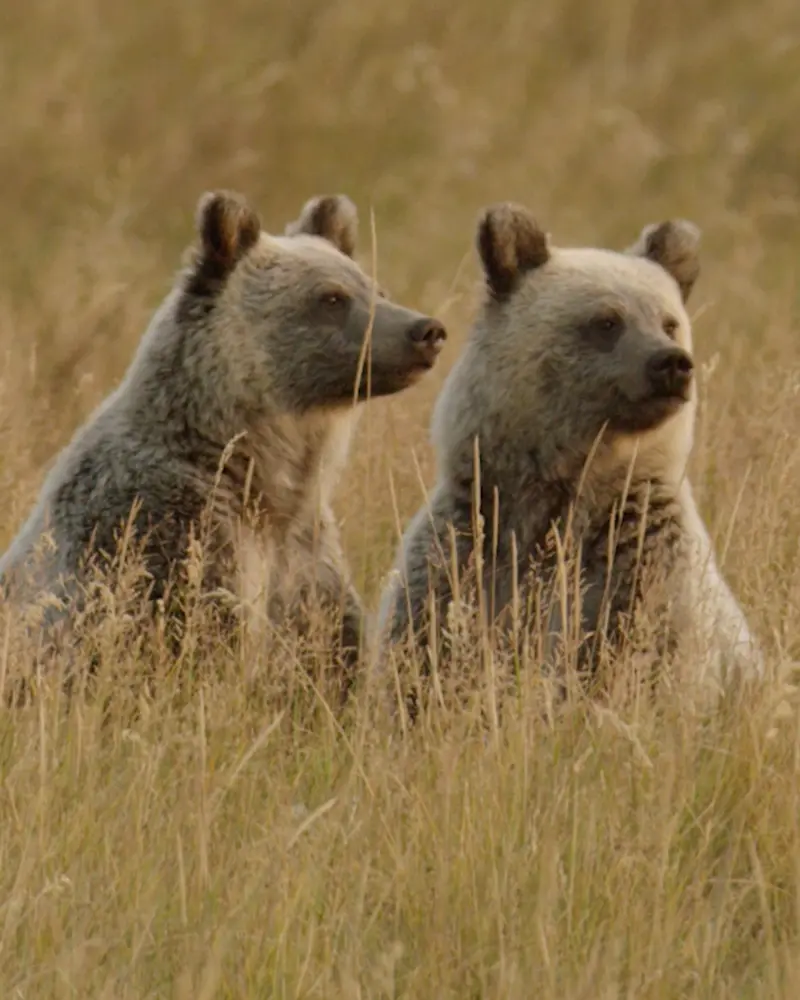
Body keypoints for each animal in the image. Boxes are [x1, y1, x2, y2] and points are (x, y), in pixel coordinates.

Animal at [0, 186, 446, 696]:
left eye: (378, 289)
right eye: (331, 297)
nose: (426, 330)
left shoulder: (306, 561)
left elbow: (331, 653)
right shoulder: (167, 536)